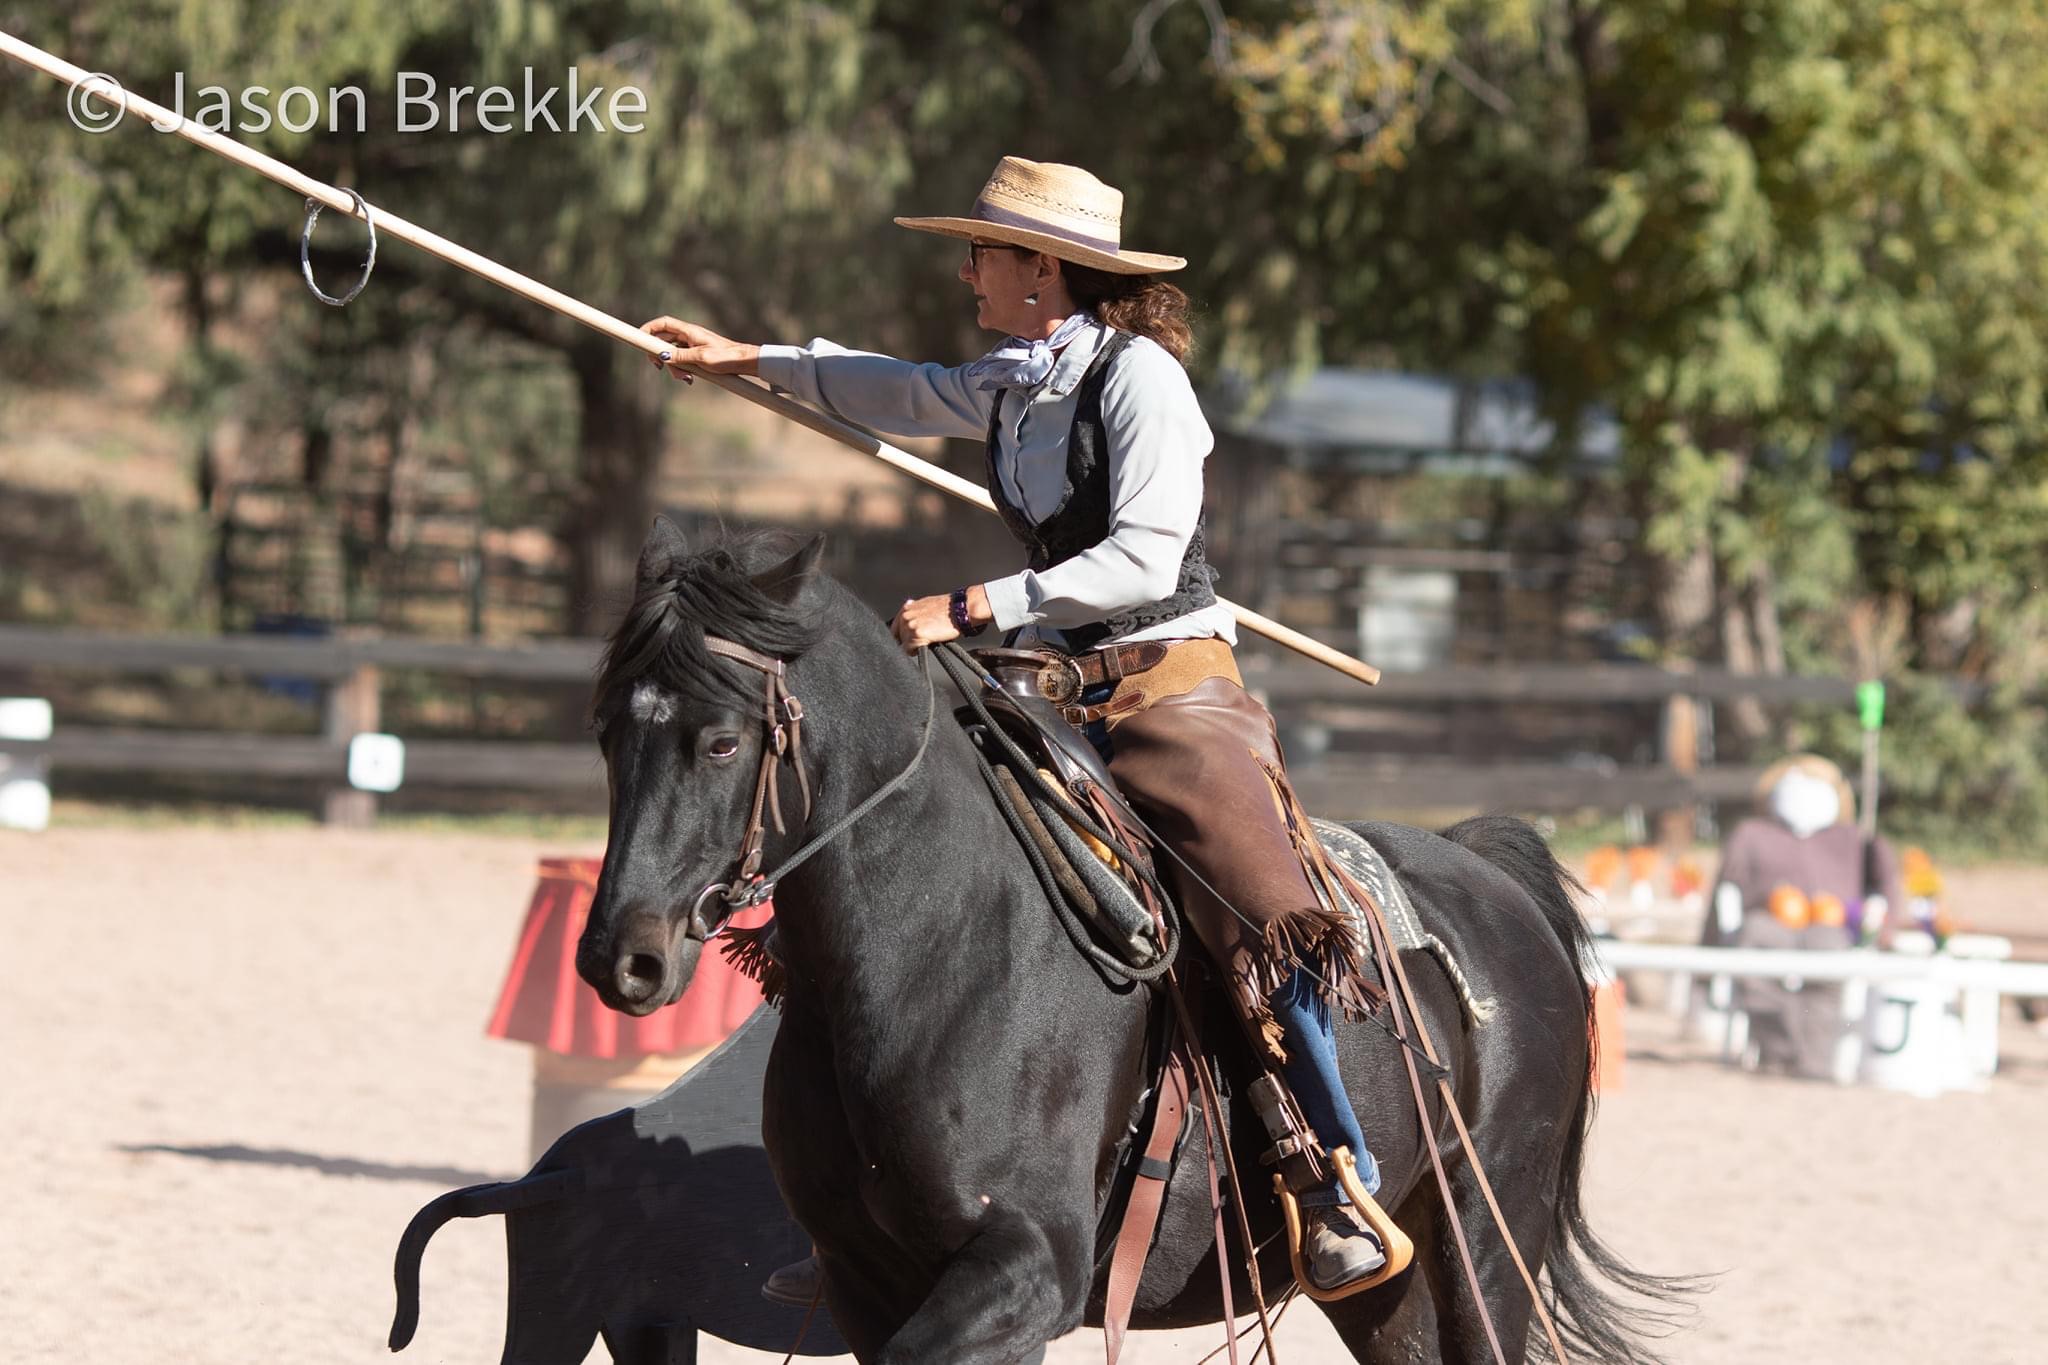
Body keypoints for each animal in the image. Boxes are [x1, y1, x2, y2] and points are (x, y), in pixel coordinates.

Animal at [573, 517, 1679, 1358]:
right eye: (608, 734)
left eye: (722, 741)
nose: (620, 956)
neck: (937, 953)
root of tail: (1488, 879)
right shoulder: (861, 1277)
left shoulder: (1026, 1266)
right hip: (1394, 1294)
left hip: (1483, 1248)